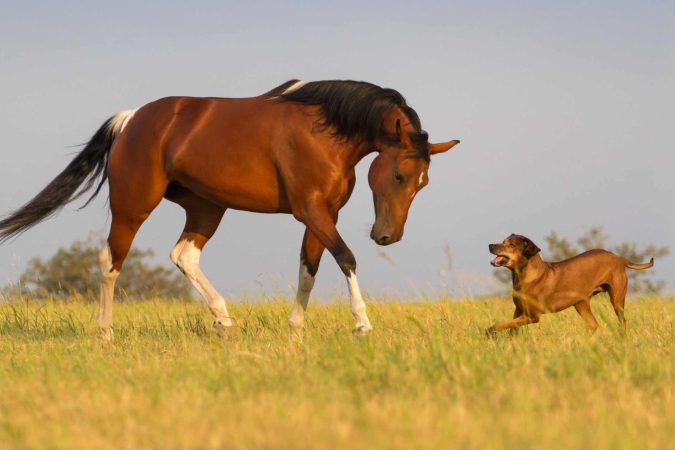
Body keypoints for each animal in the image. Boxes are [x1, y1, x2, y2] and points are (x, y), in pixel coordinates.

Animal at [0, 80, 460, 338]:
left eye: (423, 183)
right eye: (399, 176)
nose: (388, 236)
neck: (325, 131)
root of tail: (132, 119)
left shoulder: (325, 213)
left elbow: (309, 270)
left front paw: (296, 333)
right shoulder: (311, 210)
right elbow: (345, 257)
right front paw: (362, 323)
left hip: (206, 208)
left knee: (183, 255)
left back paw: (223, 320)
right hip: (132, 206)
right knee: (110, 261)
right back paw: (105, 332)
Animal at [486, 234, 656, 336]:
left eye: (511, 245)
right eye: (503, 241)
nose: (490, 245)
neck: (524, 275)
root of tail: (619, 258)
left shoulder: (532, 316)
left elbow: (500, 325)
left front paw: (489, 331)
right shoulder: (519, 311)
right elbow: (510, 327)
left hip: (617, 299)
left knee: (622, 320)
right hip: (581, 303)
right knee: (594, 325)